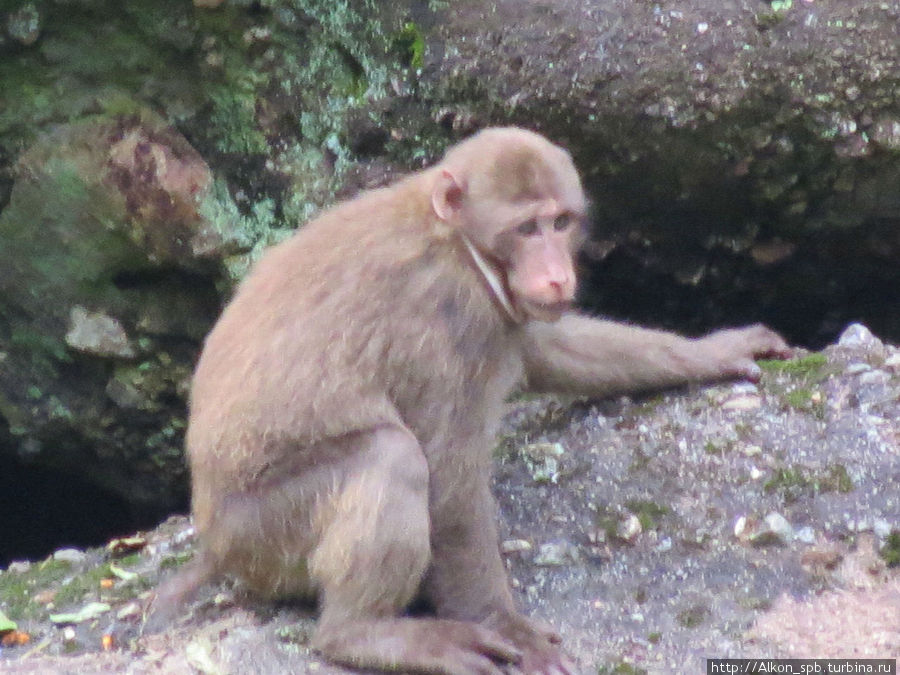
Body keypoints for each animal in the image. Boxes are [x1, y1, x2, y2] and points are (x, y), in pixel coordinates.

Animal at [153, 128, 788, 675]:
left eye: (560, 222)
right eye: (527, 229)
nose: (556, 275)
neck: (457, 242)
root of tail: (211, 538)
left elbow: (547, 349)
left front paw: (714, 350)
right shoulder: (449, 317)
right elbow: (449, 479)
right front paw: (506, 626)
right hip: (262, 534)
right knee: (391, 455)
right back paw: (362, 634)